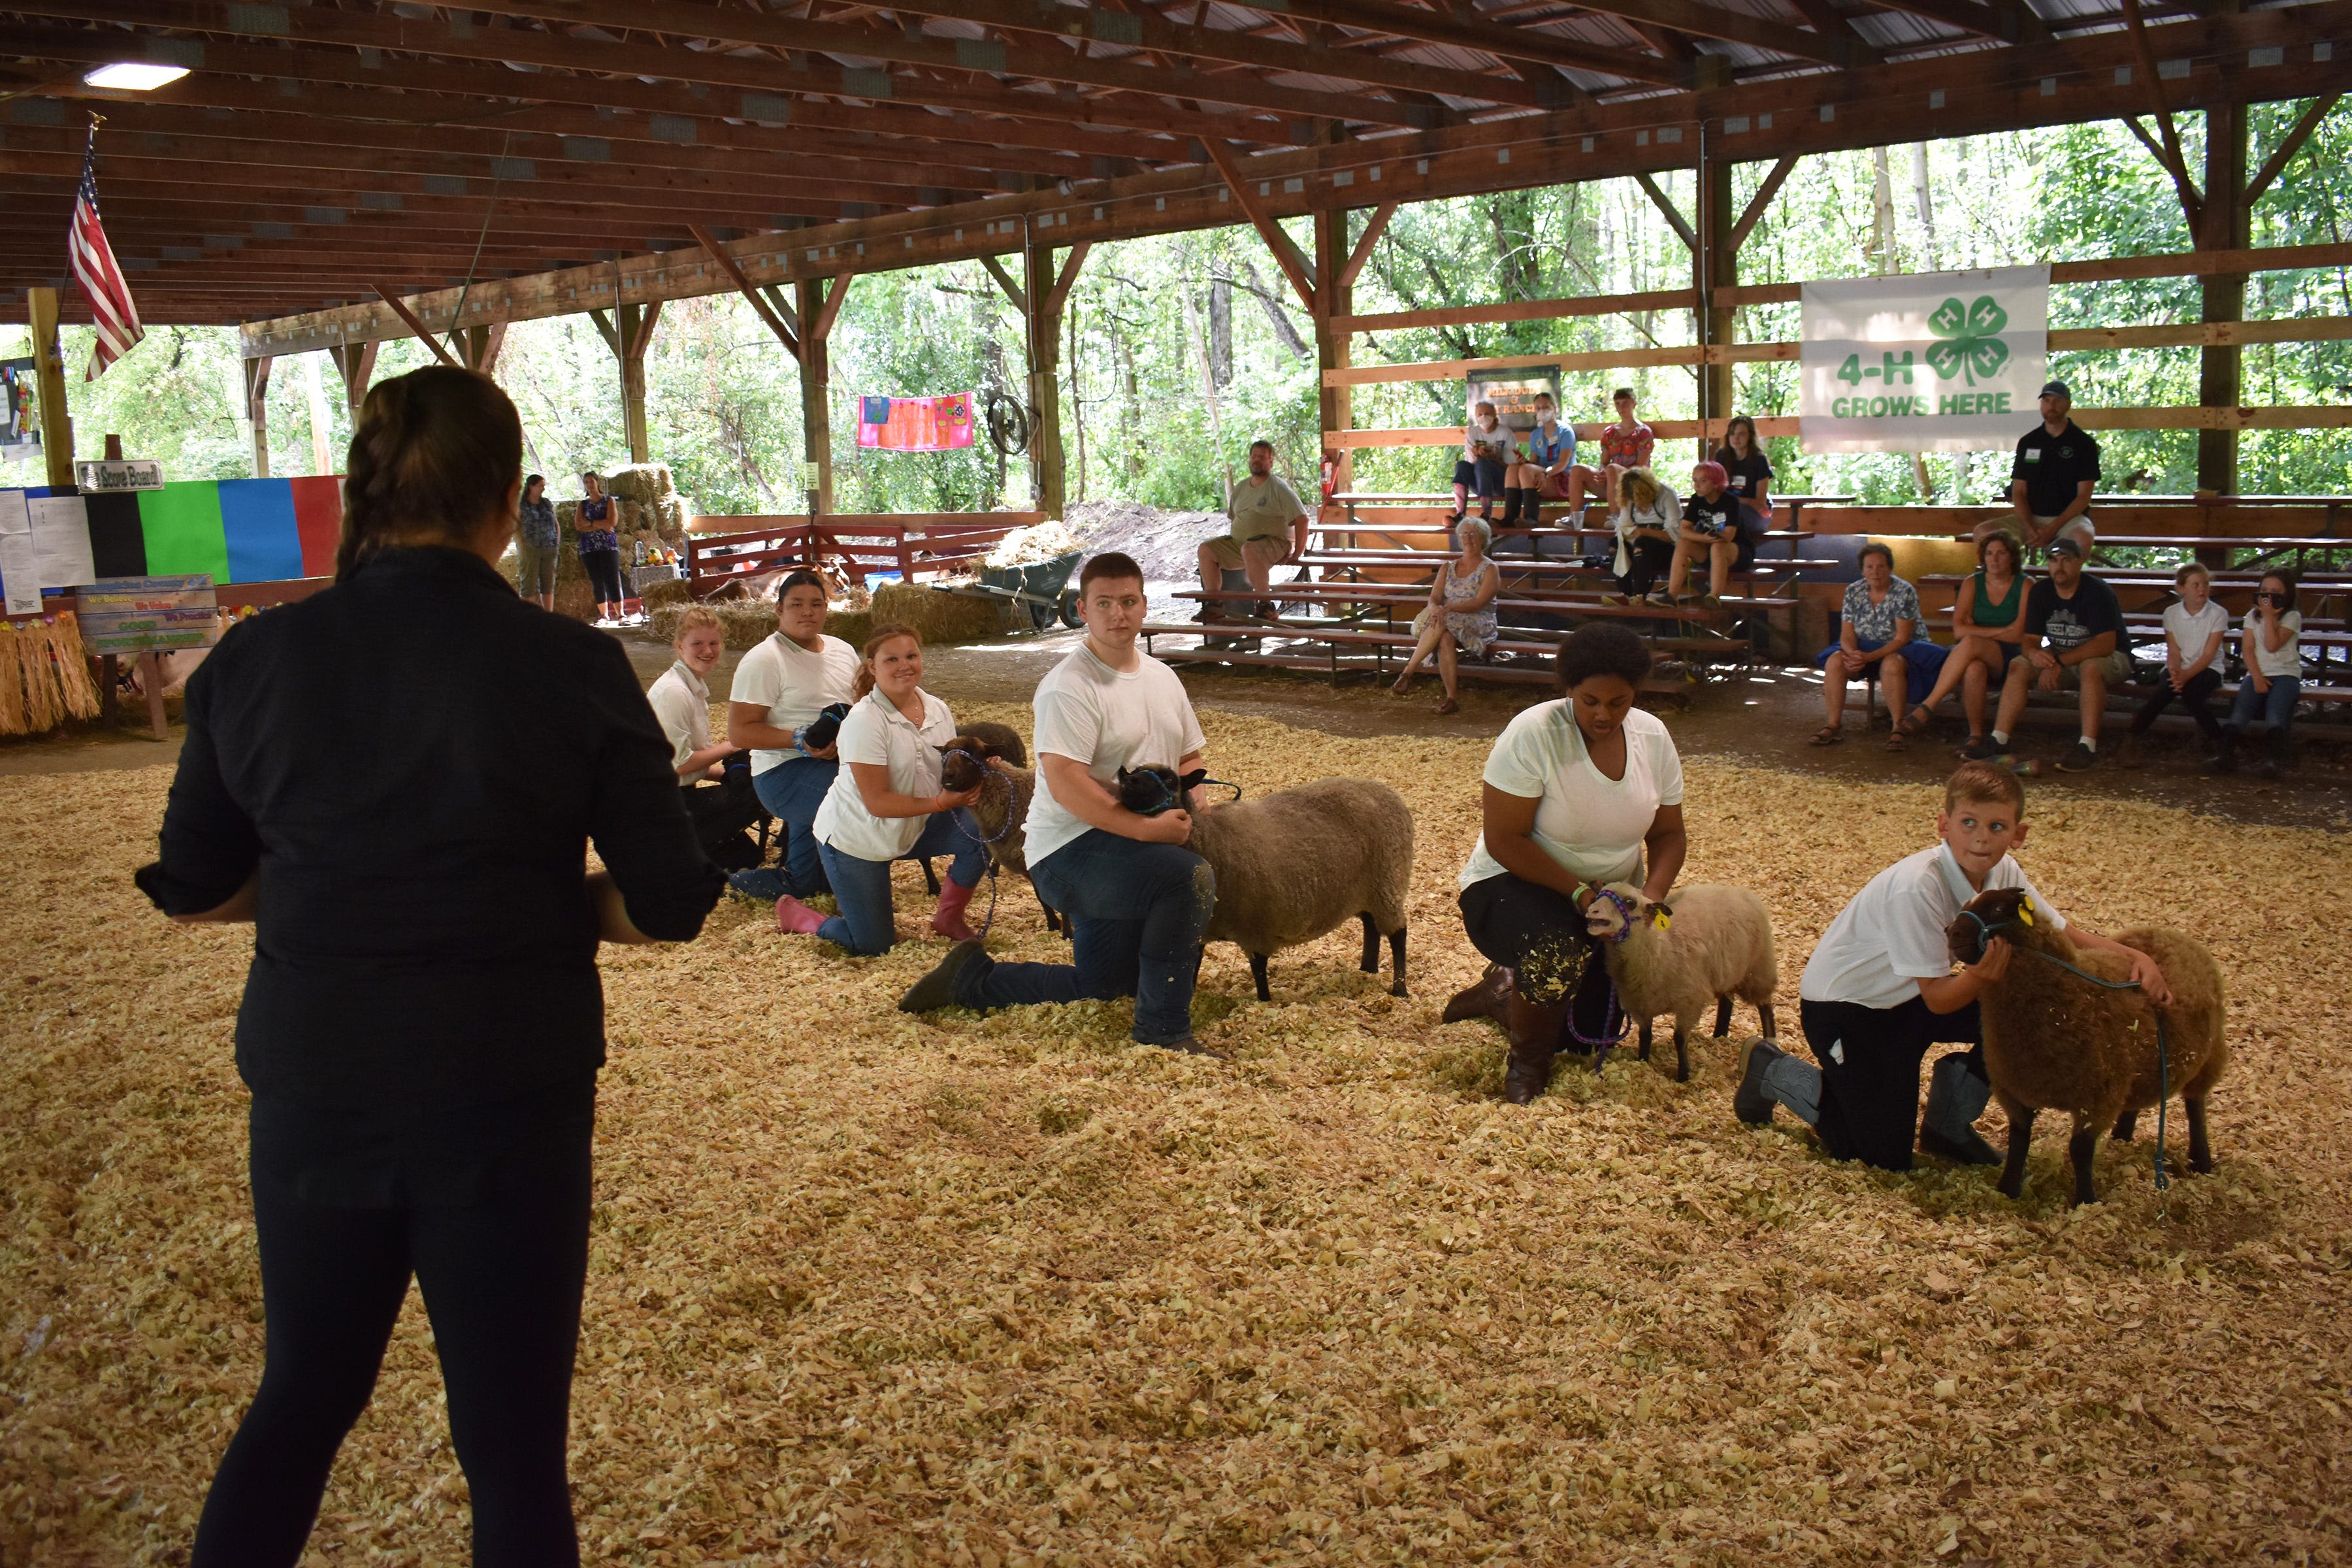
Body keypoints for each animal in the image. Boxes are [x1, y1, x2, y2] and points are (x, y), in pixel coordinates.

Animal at [1119, 761, 1411, 1006]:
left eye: (1170, 779)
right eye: (1135, 770)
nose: (1127, 780)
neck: (1213, 841)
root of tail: (1386, 792)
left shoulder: (1257, 927)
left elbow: (1259, 971)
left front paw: (1264, 1003)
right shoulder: (1201, 930)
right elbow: (1193, 965)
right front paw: (1189, 997)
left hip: (1388, 881)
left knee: (1398, 934)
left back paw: (1399, 989)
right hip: (1367, 891)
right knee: (1371, 926)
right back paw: (1368, 969)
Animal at [1580, 889, 1778, 1086]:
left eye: (1630, 902)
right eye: (1597, 896)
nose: (1592, 911)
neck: (1658, 947)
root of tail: (1742, 892)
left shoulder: (1689, 1003)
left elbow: (1680, 1038)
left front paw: (1684, 1074)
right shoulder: (1640, 1004)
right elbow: (1645, 1036)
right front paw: (1642, 1061)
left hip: (1758, 968)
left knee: (1765, 1006)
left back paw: (1771, 1040)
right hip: (1727, 973)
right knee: (1727, 1001)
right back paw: (1719, 1035)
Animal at [1938, 889, 2229, 1213]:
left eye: (2000, 908)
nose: (1952, 932)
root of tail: (2170, 932)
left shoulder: (2099, 1097)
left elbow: (2079, 1149)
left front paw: (2086, 1200)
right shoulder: (2014, 1091)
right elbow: (2019, 1141)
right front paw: (2008, 1189)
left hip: (2209, 1056)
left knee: (2195, 1105)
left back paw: (2200, 1160)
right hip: (2143, 1065)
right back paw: (2122, 1137)